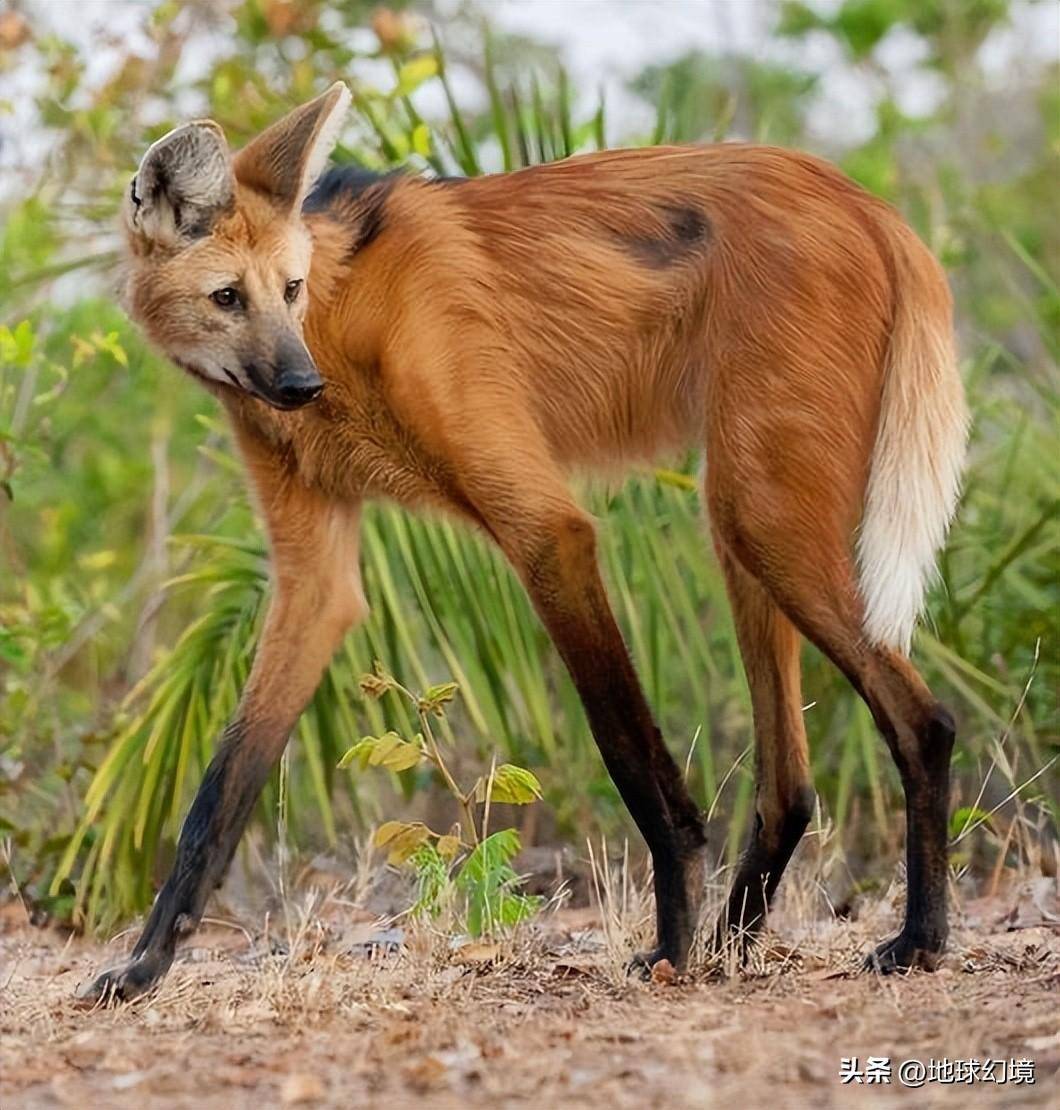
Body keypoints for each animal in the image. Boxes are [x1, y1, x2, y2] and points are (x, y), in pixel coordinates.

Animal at [78, 84, 967, 1007]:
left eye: (289, 289)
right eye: (228, 297)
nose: (299, 384)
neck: (344, 323)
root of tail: (868, 202)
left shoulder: (548, 530)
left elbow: (626, 750)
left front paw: (668, 949)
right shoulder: (314, 581)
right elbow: (220, 789)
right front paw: (144, 966)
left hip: (762, 516)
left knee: (925, 722)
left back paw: (914, 940)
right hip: (741, 520)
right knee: (790, 785)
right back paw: (736, 945)